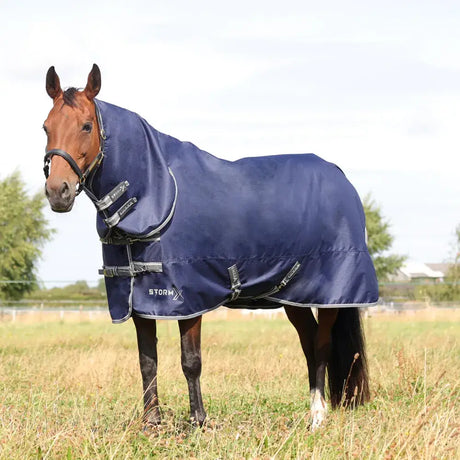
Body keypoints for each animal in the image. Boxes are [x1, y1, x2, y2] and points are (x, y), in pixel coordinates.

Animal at [42, 64, 378, 432]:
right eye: (46, 127)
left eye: (87, 126)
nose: (58, 191)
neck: (158, 194)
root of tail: (341, 178)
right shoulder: (138, 299)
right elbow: (147, 360)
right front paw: (151, 423)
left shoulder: (189, 297)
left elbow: (191, 360)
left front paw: (198, 421)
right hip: (294, 297)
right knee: (308, 342)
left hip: (330, 294)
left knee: (321, 344)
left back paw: (317, 416)